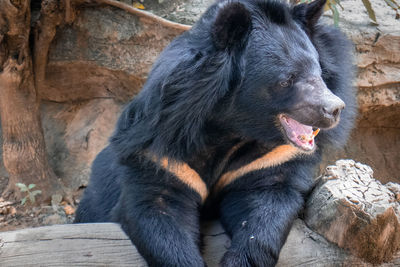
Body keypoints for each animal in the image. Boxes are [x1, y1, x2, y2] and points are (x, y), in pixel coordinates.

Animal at [75, 0, 356, 266]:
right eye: (286, 80)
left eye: (319, 72)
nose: (334, 108)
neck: (232, 130)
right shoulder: (158, 151)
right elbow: (158, 211)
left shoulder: (272, 157)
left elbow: (267, 203)